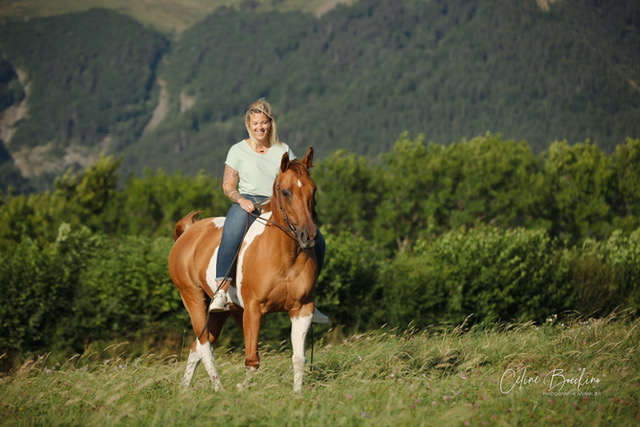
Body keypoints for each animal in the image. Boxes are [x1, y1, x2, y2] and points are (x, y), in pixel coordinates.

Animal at [168, 147, 321, 392]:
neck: (284, 256)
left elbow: (299, 358)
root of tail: (188, 233)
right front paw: (243, 387)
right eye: (286, 192)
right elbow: (252, 360)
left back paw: (184, 389)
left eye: (313, 189)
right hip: (192, 298)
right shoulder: (252, 309)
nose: (309, 236)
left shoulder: (302, 308)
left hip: (222, 312)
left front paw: (297, 394)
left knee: (196, 346)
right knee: (204, 346)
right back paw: (219, 389)